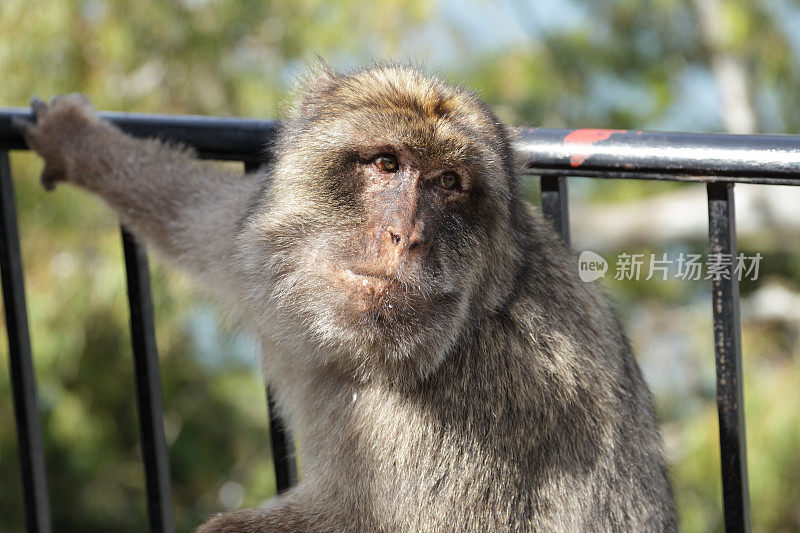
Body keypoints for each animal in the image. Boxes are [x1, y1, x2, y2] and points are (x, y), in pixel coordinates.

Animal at [15, 64, 676, 528]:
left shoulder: (490, 397)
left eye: (448, 183)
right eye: (386, 163)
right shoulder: (257, 240)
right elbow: (193, 212)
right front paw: (78, 141)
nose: (406, 235)